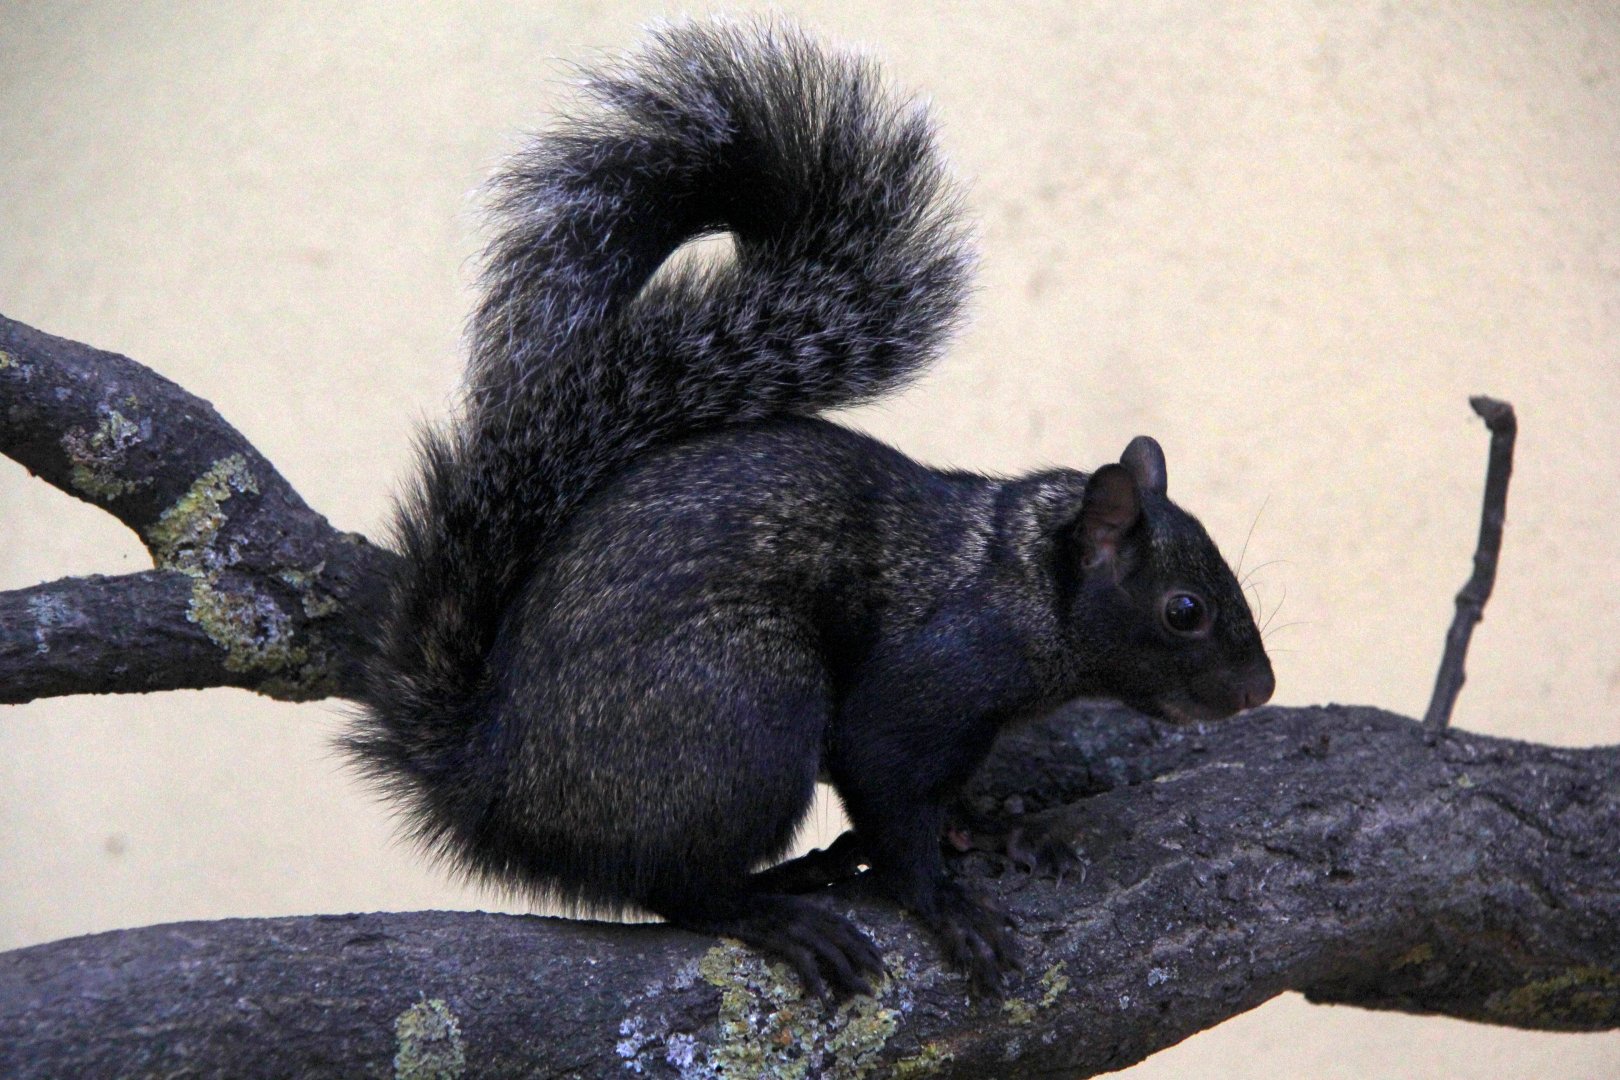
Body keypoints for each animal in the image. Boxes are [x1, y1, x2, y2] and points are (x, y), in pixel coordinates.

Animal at [349, 20, 1275, 1000]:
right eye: (1184, 611)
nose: (1260, 690)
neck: (1021, 580)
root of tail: (489, 784)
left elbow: (948, 801)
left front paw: (994, 828)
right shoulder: (929, 684)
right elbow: (889, 794)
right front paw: (947, 904)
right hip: (746, 709)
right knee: (671, 886)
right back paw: (780, 906)